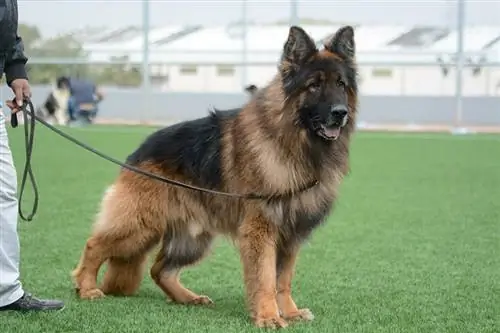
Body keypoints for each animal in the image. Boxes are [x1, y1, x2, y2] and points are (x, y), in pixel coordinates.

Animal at [72, 25, 358, 326]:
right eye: (314, 85)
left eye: (341, 85)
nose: (340, 113)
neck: (291, 143)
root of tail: (139, 150)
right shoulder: (262, 230)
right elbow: (266, 277)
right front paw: (269, 316)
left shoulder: (292, 234)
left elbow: (284, 279)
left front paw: (289, 312)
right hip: (140, 226)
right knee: (95, 245)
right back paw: (86, 287)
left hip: (192, 238)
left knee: (159, 270)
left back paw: (187, 298)